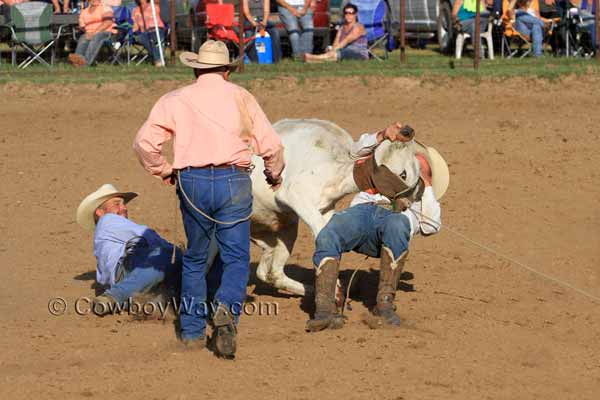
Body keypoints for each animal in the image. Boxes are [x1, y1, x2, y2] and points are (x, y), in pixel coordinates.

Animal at [246, 117, 414, 296]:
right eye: (403, 173)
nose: (408, 202)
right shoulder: (294, 194)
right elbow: (323, 231)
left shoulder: (326, 208)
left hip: (283, 230)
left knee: (270, 273)